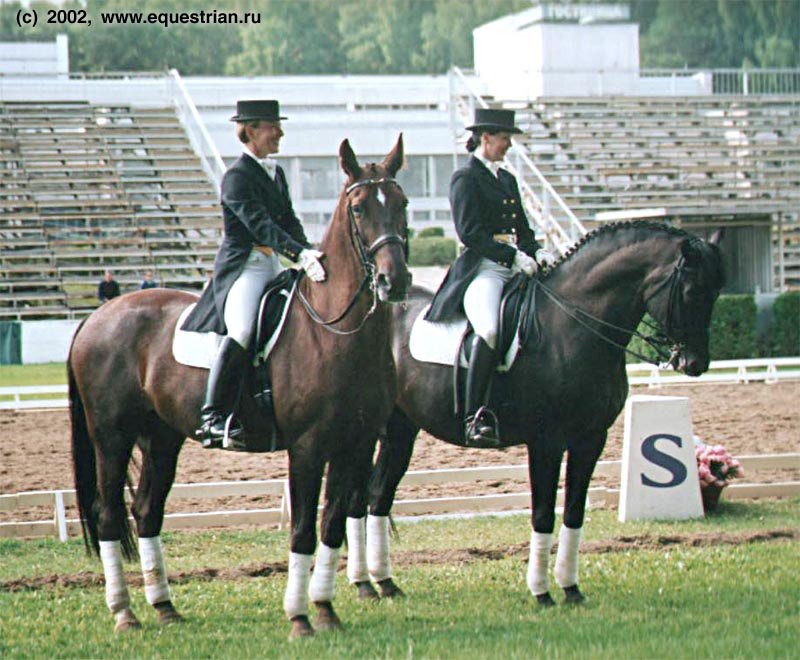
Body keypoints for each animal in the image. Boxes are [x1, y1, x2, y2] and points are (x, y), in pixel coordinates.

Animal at [68, 135, 410, 640]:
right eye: (360, 208)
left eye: (402, 203)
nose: (394, 280)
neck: (334, 331)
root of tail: (97, 316)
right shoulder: (308, 447)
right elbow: (303, 530)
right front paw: (299, 619)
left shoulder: (357, 443)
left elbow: (332, 526)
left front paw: (326, 610)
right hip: (112, 437)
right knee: (109, 514)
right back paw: (125, 613)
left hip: (161, 437)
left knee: (147, 511)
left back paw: (164, 607)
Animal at [344, 222, 724, 604]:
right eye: (690, 292)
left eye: (716, 292)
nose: (695, 363)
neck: (572, 326)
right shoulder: (546, 442)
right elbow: (542, 514)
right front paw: (541, 593)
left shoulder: (591, 440)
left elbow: (574, 512)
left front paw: (571, 589)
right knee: (358, 498)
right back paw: (363, 584)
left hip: (401, 430)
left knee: (378, 496)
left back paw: (385, 583)